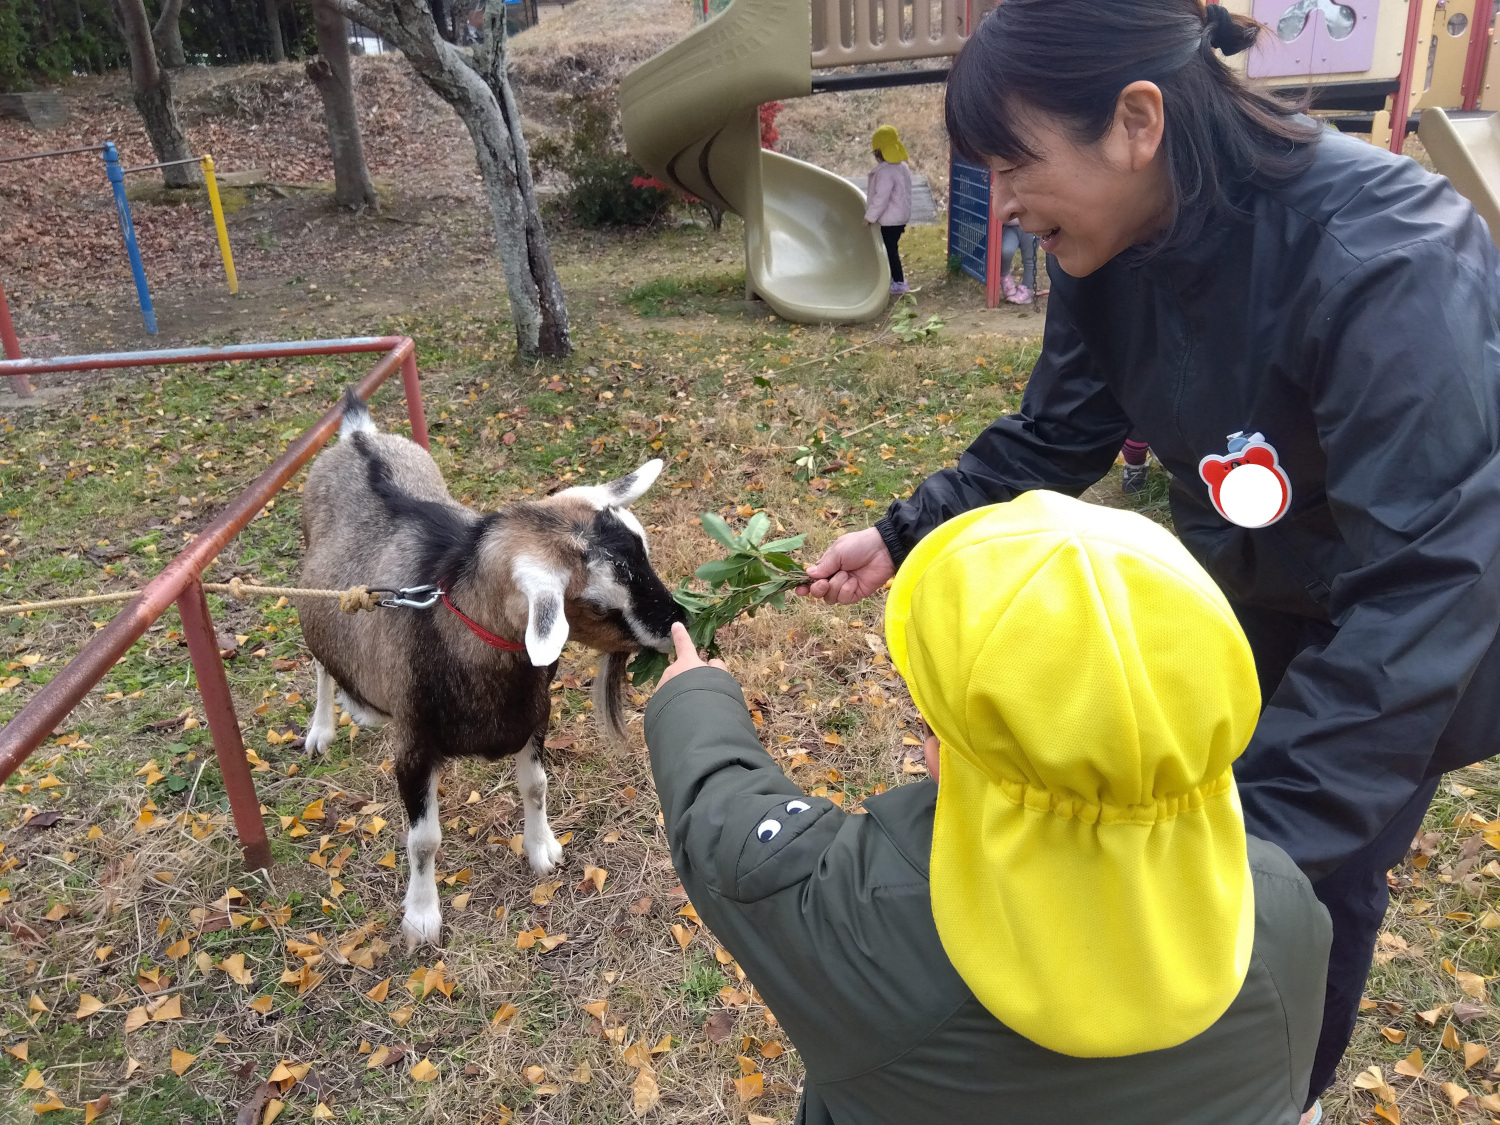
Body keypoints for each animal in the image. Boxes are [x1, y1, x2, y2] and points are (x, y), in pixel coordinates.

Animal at [291, 393, 687, 948]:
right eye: (596, 603)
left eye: (645, 550)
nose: (679, 622)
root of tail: (358, 435)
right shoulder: (413, 744)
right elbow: (423, 840)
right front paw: (422, 918)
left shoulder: (534, 717)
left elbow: (535, 786)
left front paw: (542, 851)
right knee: (323, 663)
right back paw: (322, 728)